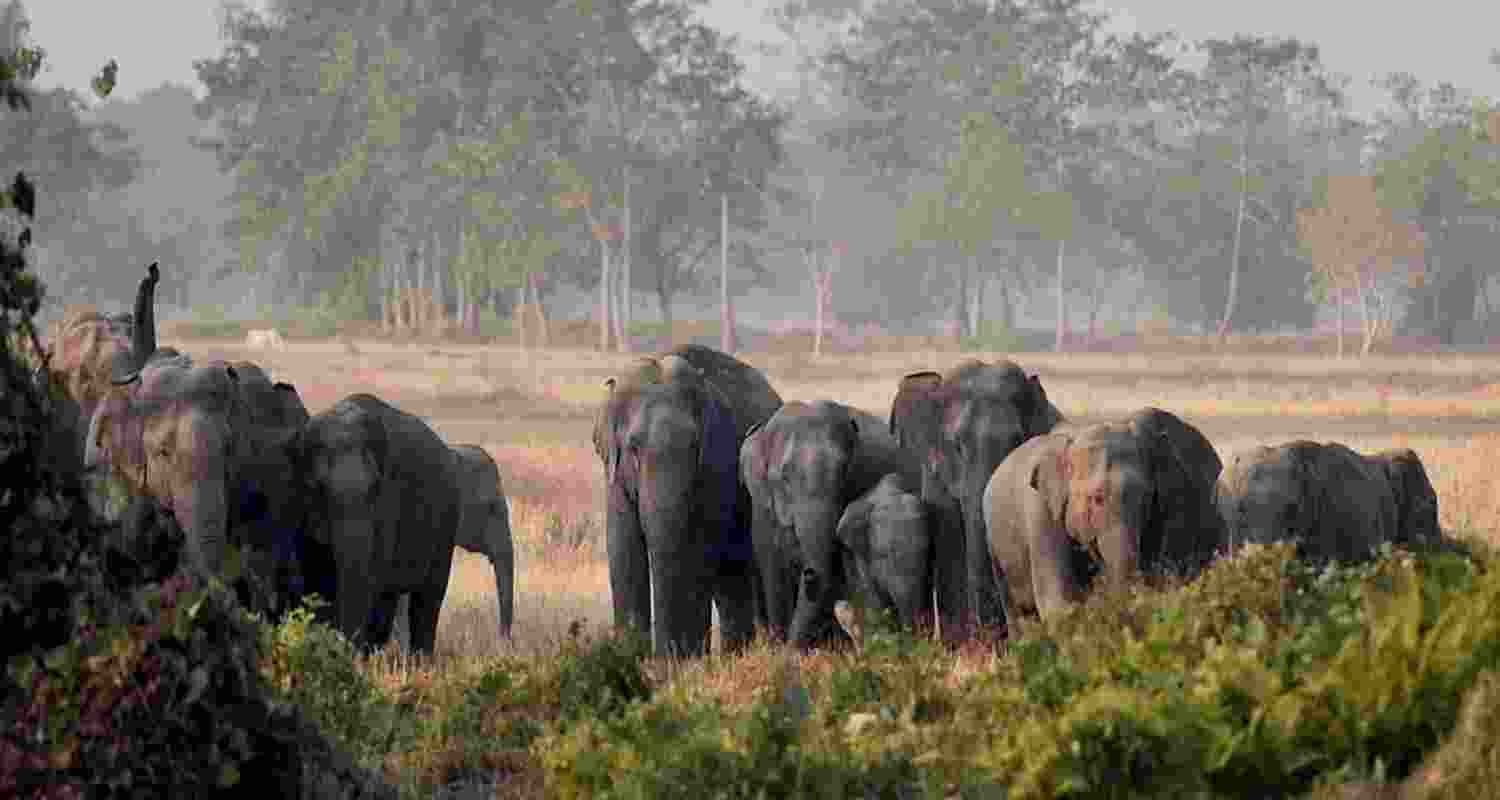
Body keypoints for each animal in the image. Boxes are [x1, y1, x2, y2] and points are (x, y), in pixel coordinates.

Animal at [286, 393, 461, 655]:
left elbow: (371, 580)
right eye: (317, 488)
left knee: (426, 601)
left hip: (447, 519)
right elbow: (316, 577)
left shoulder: (389, 503)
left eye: (375, 488)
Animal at [593, 345, 781, 658]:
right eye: (633, 448)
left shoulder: (717, 468)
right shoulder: (615, 476)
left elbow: (698, 553)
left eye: (696, 448)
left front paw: (684, 663)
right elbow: (623, 551)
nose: (659, 657)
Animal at [740, 399, 922, 650]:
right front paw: (778, 650)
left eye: (845, 471)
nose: (808, 572)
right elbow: (773, 571)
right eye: (784, 478)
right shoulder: (763, 508)